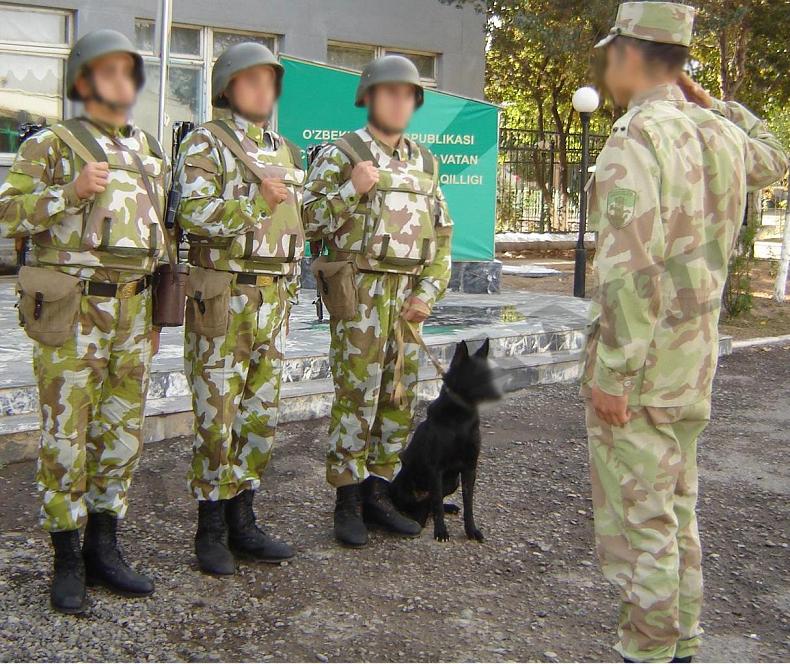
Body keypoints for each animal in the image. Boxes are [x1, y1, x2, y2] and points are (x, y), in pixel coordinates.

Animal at [392, 340, 504, 544]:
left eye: (490, 375)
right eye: (477, 377)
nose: (499, 394)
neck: (460, 419)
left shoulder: (469, 469)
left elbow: (469, 504)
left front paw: (471, 530)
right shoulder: (436, 469)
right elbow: (436, 502)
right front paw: (441, 531)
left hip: (453, 482)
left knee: (430, 503)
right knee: (424, 504)